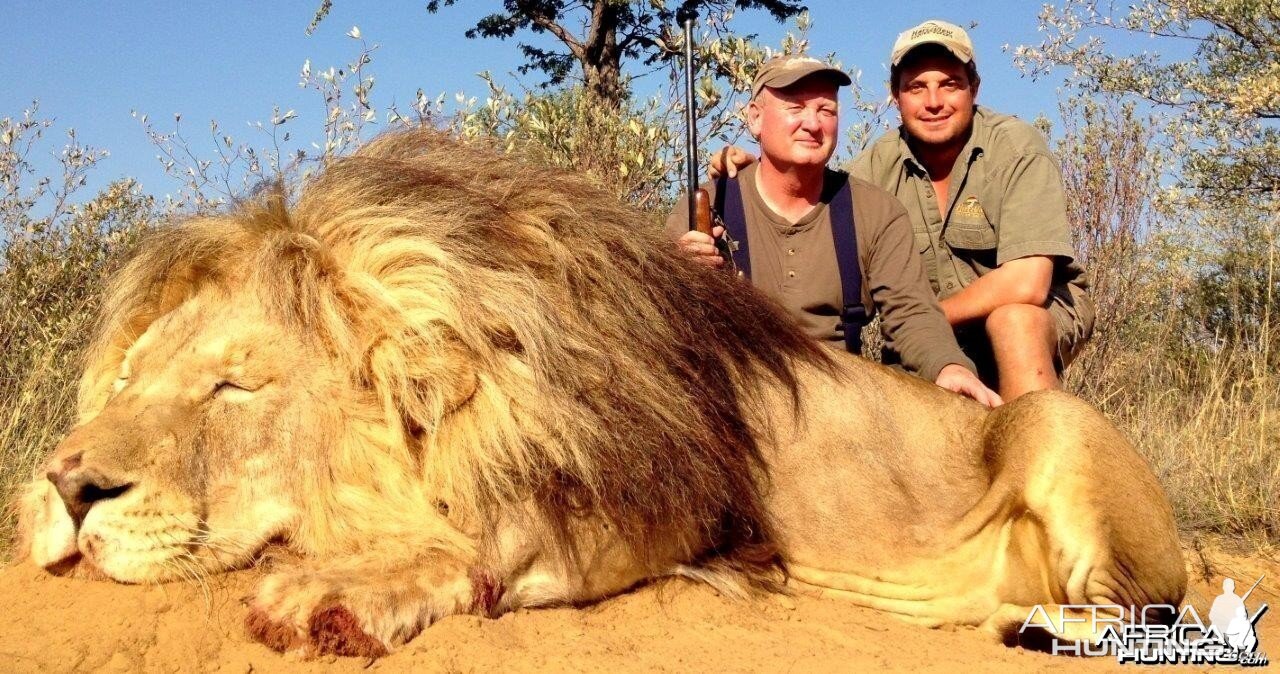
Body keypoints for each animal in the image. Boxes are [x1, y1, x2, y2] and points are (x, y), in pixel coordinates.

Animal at [13, 129, 1186, 658]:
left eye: (233, 385)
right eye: (137, 374)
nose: (65, 486)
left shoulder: (667, 501)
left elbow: (492, 539)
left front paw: (333, 588)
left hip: (1058, 428)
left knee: (1141, 606)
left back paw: (1050, 622)